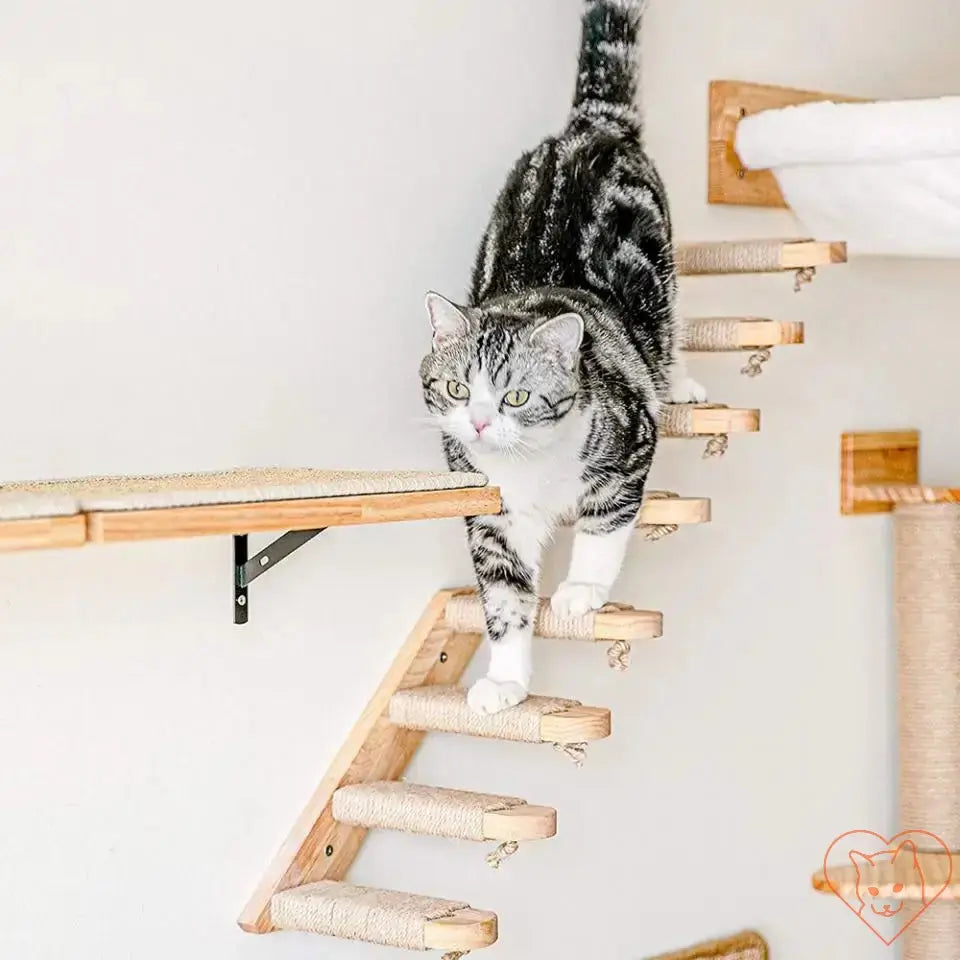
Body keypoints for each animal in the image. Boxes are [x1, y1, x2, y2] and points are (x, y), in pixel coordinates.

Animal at [420, 0, 704, 708]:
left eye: (517, 395)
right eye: (458, 389)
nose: (479, 424)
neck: (531, 471)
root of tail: (587, 130)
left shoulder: (631, 444)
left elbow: (605, 524)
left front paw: (581, 592)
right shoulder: (491, 518)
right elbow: (503, 599)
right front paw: (504, 681)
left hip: (664, 270)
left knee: (673, 321)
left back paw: (683, 380)